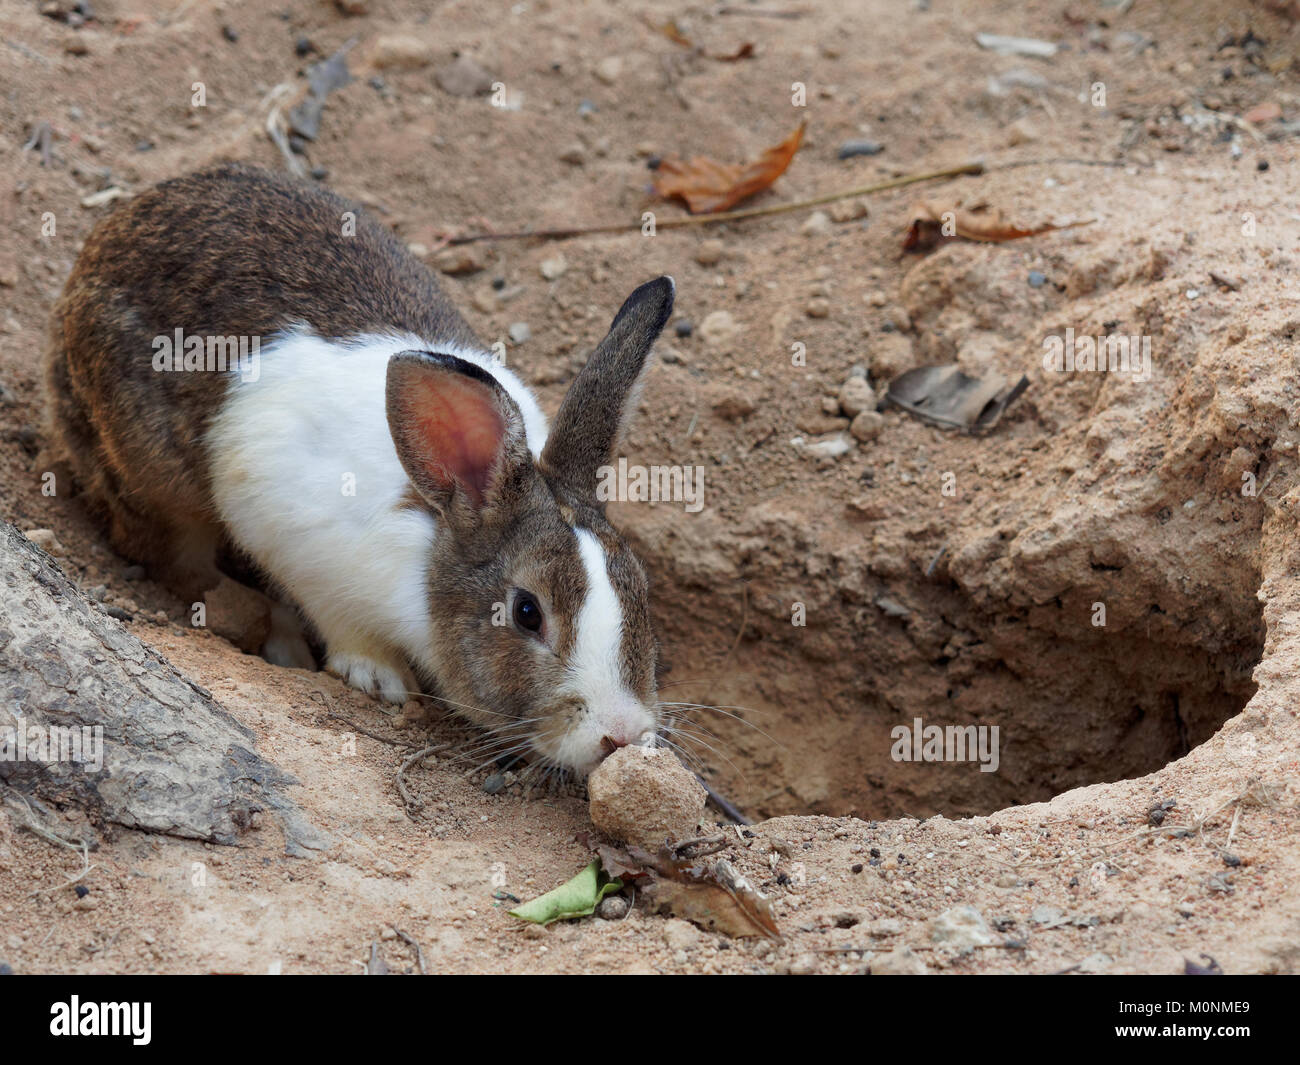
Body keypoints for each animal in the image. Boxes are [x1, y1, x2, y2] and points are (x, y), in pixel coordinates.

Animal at [45, 162, 676, 780]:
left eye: (639, 589)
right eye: (526, 613)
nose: (621, 734)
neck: (436, 530)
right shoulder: (300, 548)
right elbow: (338, 622)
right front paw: (378, 678)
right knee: (181, 563)